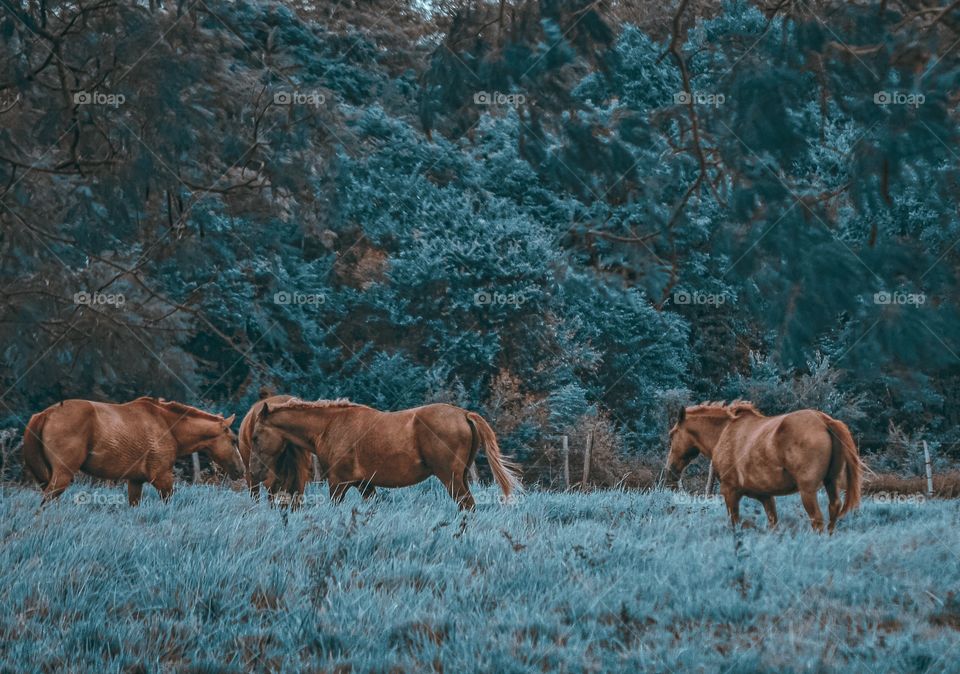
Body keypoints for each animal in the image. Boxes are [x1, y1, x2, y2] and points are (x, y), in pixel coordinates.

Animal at [23, 394, 244, 504]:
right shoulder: (162, 478)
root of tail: (45, 414)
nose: (241, 470)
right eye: (234, 440)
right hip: (62, 476)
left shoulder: (136, 481)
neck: (167, 425)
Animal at [246, 396, 516, 506]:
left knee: (466, 505)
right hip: (461, 477)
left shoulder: (338, 483)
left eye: (256, 437)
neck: (330, 426)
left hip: (451, 478)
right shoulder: (364, 485)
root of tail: (464, 414)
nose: (254, 473)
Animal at [668, 400, 864, 532]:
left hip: (807, 491)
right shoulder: (766, 496)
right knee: (833, 511)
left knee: (817, 520)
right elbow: (773, 524)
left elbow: (735, 525)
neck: (724, 432)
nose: (671, 469)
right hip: (831, 483)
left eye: (672, 434)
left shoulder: (730, 492)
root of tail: (825, 421)